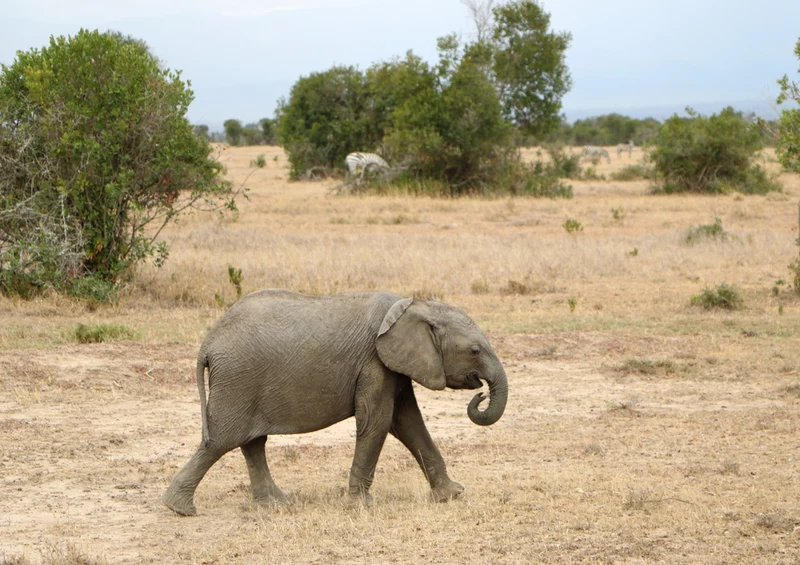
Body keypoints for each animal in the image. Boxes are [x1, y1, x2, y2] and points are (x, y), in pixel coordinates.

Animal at [162, 289, 508, 516]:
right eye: (475, 351)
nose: (480, 393)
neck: (416, 305)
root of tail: (207, 344)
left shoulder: (394, 364)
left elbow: (408, 422)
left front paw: (452, 495)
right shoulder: (375, 361)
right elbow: (377, 421)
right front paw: (359, 507)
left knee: (251, 443)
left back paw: (277, 503)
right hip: (238, 380)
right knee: (221, 441)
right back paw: (180, 509)